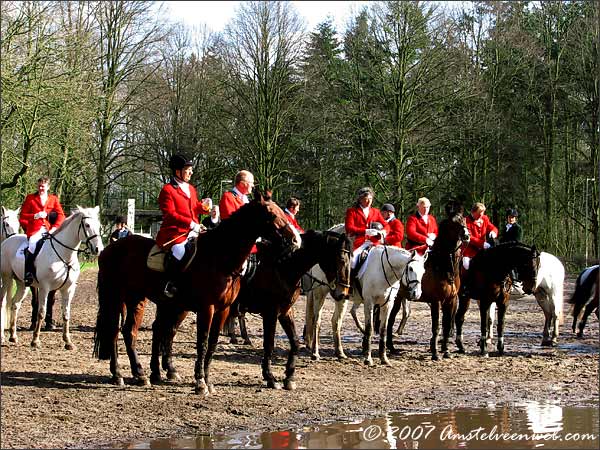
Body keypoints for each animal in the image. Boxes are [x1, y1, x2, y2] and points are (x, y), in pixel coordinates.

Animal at [0, 206, 103, 350]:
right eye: (87, 225)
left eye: (99, 225)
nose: (99, 249)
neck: (64, 255)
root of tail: (7, 241)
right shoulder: (45, 287)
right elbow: (41, 312)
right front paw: (35, 340)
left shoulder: (68, 289)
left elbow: (66, 314)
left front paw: (68, 342)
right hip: (6, 279)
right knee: (3, 302)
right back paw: (2, 337)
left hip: (22, 284)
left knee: (15, 304)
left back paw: (13, 336)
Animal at [94, 190, 300, 394]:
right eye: (272, 214)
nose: (295, 240)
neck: (219, 257)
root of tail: (109, 249)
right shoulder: (208, 308)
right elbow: (203, 341)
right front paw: (200, 382)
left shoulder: (224, 309)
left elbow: (213, 343)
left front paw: (207, 380)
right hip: (117, 297)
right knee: (116, 331)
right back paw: (121, 374)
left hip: (139, 299)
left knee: (131, 331)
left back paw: (139, 375)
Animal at [150, 229, 352, 390]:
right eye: (341, 259)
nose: (343, 293)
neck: (283, 266)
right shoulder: (271, 312)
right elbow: (269, 344)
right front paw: (270, 377)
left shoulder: (285, 311)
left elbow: (295, 343)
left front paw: (289, 377)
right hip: (177, 306)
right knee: (161, 329)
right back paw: (157, 372)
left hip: (180, 306)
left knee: (168, 331)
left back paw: (168, 370)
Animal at [418, 209, 468, 360]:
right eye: (453, 223)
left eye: (464, 220)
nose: (466, 235)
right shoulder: (436, 301)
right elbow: (436, 327)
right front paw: (435, 353)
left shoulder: (451, 300)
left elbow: (446, 325)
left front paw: (445, 350)